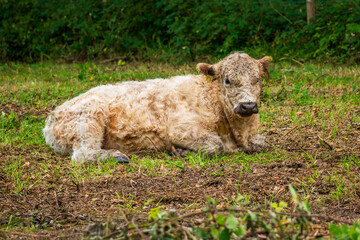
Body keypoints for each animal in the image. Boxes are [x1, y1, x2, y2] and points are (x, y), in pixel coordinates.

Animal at [43, 51, 270, 162]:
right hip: (88, 120)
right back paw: (116, 156)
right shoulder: (181, 129)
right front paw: (181, 152)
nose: (247, 106)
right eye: (227, 80)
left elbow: (261, 143)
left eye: (258, 79)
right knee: (83, 154)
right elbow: (215, 145)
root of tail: (51, 118)